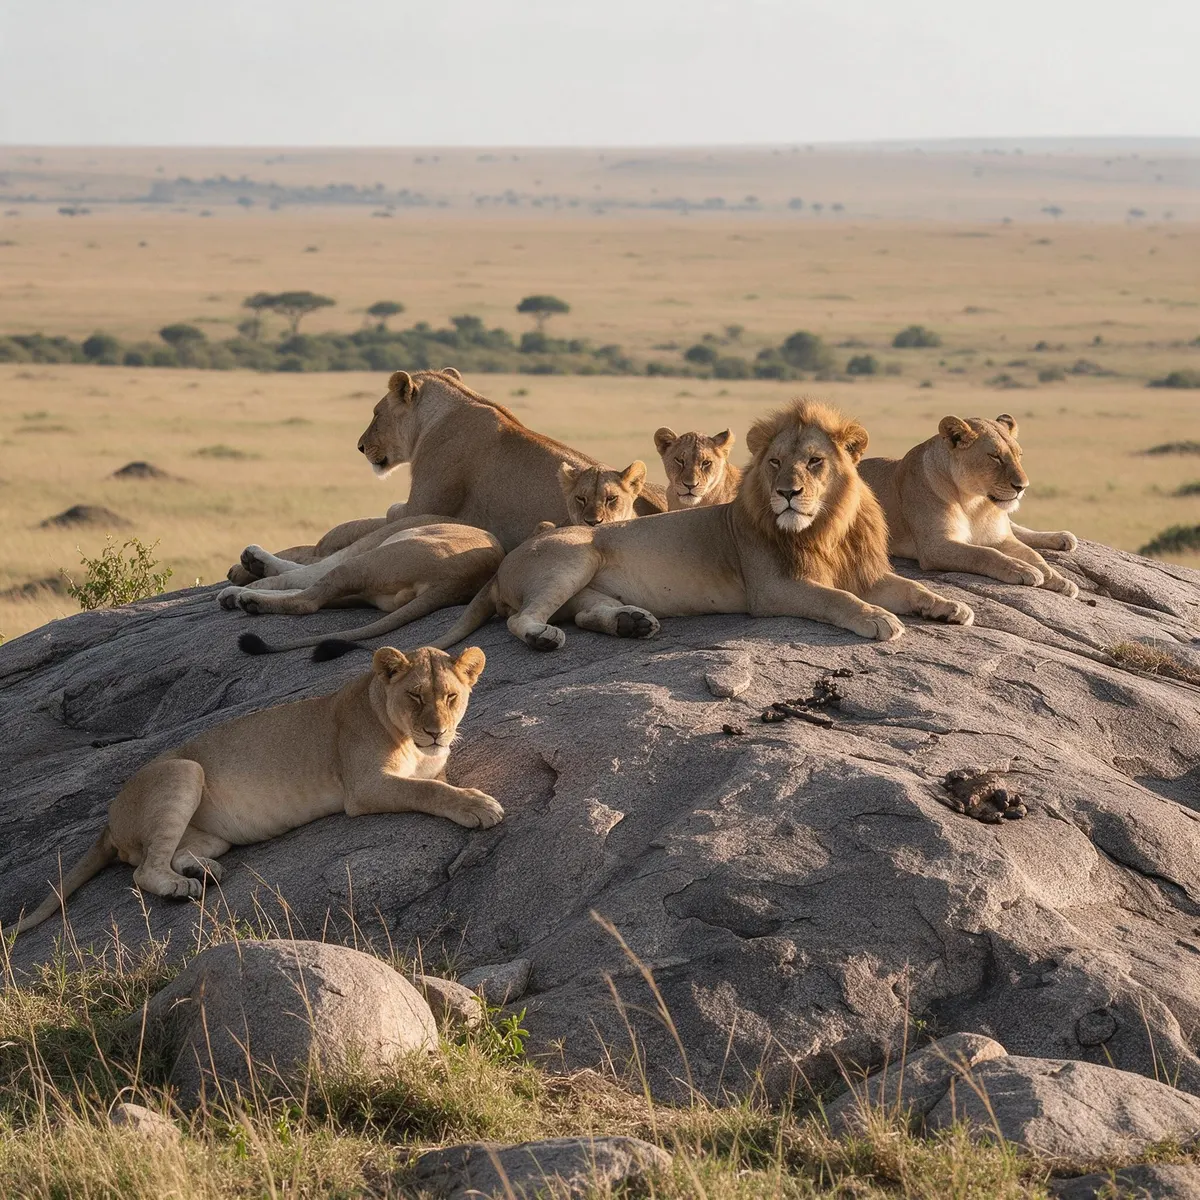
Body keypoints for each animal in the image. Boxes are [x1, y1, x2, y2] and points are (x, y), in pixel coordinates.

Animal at [10, 645, 499, 936]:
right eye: (415, 696)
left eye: (451, 696)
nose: (436, 732)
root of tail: (109, 822)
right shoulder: (364, 787)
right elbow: (430, 793)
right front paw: (478, 804)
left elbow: (436, 783)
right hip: (184, 770)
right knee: (144, 870)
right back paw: (180, 888)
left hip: (212, 833)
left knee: (172, 853)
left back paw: (204, 870)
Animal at [215, 514, 503, 656]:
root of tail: (451, 584)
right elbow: (298, 574)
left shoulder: (346, 554)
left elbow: (295, 573)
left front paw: (253, 566)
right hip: (371, 587)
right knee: (318, 594)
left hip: (364, 561)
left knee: (307, 600)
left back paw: (250, 600)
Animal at [226, 368, 667, 584]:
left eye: (376, 413)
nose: (360, 446)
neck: (448, 411)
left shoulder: (420, 504)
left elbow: (353, 527)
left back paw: (251, 566)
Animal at [429, 399, 974, 653]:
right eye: (775, 463)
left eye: (815, 462)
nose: (788, 492)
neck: (826, 526)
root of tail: (504, 565)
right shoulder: (773, 589)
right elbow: (836, 599)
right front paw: (879, 619)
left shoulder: (867, 572)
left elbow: (911, 587)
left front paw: (951, 607)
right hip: (575, 554)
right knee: (522, 620)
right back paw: (546, 639)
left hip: (585, 587)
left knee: (585, 614)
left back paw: (632, 623)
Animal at [858, 414, 1079, 597]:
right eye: (995, 457)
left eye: (1019, 455)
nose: (1022, 486)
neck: (974, 502)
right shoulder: (935, 546)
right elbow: (985, 553)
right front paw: (1022, 569)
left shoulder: (1000, 537)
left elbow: (1032, 554)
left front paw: (1058, 579)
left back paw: (1063, 538)